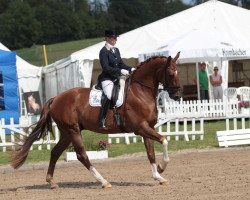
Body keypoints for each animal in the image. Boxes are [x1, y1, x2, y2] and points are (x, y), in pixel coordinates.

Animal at [11, 52, 181, 188]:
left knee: (55, 152)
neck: (140, 92)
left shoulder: (147, 128)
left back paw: (52, 182)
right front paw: (161, 167)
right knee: (81, 155)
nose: (177, 95)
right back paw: (103, 182)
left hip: (66, 133)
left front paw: (158, 175)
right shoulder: (141, 128)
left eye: (177, 72)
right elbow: (164, 140)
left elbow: (150, 153)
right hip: (73, 130)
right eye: (170, 73)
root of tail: (56, 98)